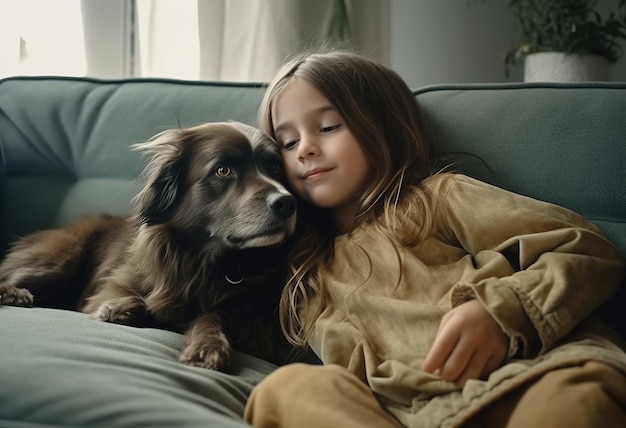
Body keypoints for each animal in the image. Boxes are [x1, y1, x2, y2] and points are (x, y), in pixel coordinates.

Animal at [0, 121, 296, 372]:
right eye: (223, 170)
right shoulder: (106, 290)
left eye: (275, 169)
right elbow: (141, 301)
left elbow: (213, 316)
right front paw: (120, 309)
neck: (206, 260)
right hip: (61, 258)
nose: (286, 202)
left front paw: (209, 346)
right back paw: (13, 293)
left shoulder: (252, 320)